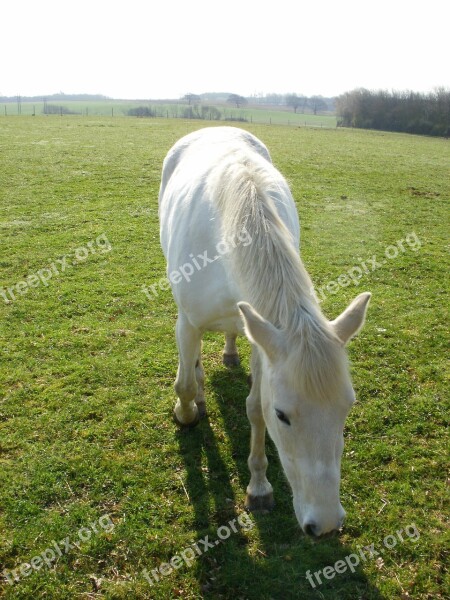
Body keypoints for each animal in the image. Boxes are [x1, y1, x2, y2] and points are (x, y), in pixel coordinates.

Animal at [158, 125, 370, 536]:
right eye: (283, 415)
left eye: (347, 407)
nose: (325, 523)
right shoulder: (188, 322)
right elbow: (185, 385)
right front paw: (186, 412)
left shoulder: (264, 339)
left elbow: (254, 407)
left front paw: (258, 487)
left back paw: (228, 353)